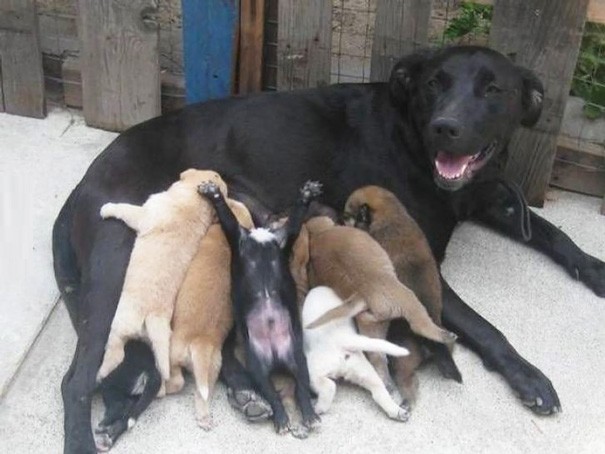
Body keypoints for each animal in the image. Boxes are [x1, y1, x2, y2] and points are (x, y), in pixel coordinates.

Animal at [95, 168, 228, 382]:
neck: (195, 203)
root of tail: (151, 317)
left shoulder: (144, 213)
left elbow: (124, 209)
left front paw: (108, 208)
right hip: (161, 341)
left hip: (121, 322)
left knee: (116, 350)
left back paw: (102, 372)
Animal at [198, 179, 320, 434]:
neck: (260, 232)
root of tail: (276, 357)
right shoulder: (236, 234)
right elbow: (227, 215)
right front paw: (213, 193)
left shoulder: (284, 236)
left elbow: (296, 219)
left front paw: (307, 194)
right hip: (258, 369)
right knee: (273, 395)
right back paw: (283, 419)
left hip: (298, 361)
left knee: (301, 390)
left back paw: (308, 416)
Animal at [302, 286, 410, 420]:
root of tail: (343, 339)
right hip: (363, 371)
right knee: (379, 391)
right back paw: (398, 412)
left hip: (313, 371)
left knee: (329, 386)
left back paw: (319, 408)